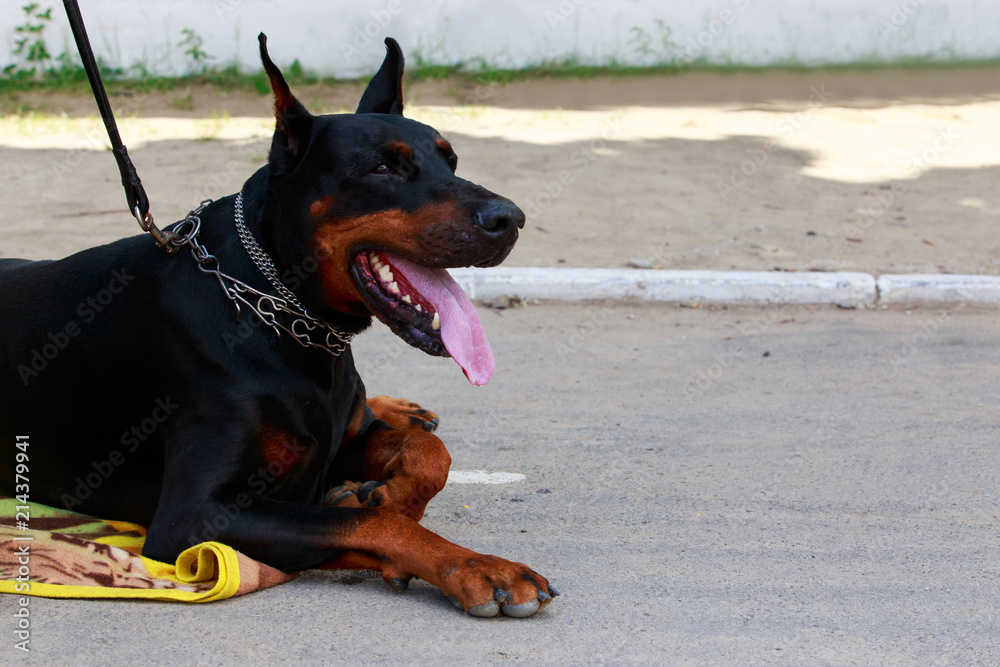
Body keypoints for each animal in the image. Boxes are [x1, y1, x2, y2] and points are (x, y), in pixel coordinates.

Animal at [0, 34, 556, 618]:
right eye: (383, 167)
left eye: (451, 160)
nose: (510, 219)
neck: (281, 317)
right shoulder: (193, 517)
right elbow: (367, 520)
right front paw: (477, 565)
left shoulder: (341, 441)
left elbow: (431, 456)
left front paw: (389, 490)